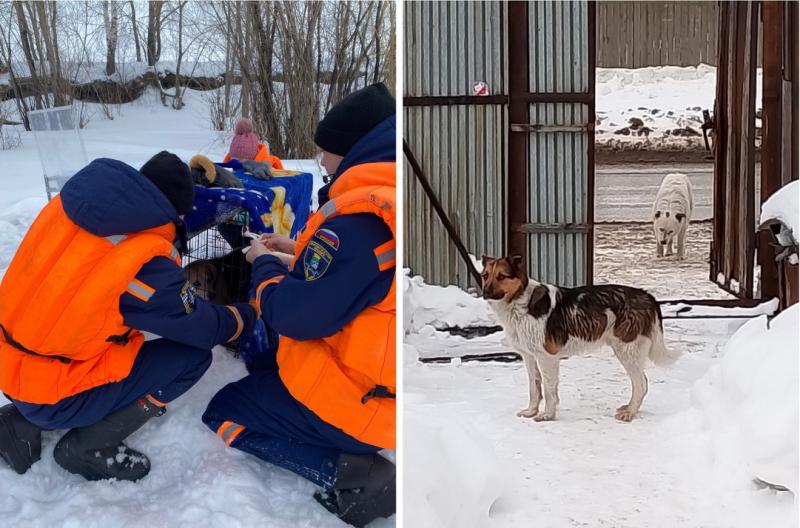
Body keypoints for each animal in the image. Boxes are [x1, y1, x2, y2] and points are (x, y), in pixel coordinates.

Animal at [484, 254, 680, 422]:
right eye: (485, 275)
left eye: (501, 276)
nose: (485, 292)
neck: (520, 302)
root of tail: (648, 296)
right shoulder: (529, 357)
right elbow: (535, 387)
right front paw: (531, 412)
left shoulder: (547, 358)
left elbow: (548, 390)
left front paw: (547, 415)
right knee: (640, 383)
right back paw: (629, 408)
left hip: (627, 351)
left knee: (641, 383)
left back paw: (630, 413)